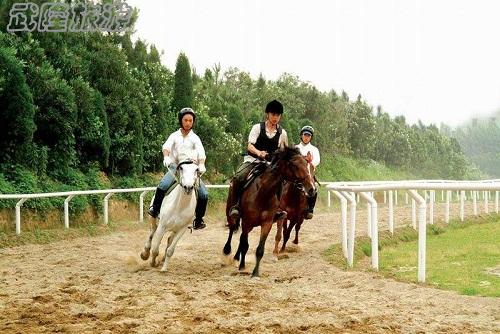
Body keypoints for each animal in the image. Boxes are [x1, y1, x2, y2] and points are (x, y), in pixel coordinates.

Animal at [223, 147, 316, 278]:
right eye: (294, 165)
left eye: (310, 166)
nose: (311, 188)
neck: (263, 191)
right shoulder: (247, 222)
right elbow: (245, 244)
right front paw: (242, 266)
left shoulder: (267, 223)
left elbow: (260, 249)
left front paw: (255, 273)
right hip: (232, 213)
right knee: (232, 230)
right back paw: (228, 253)